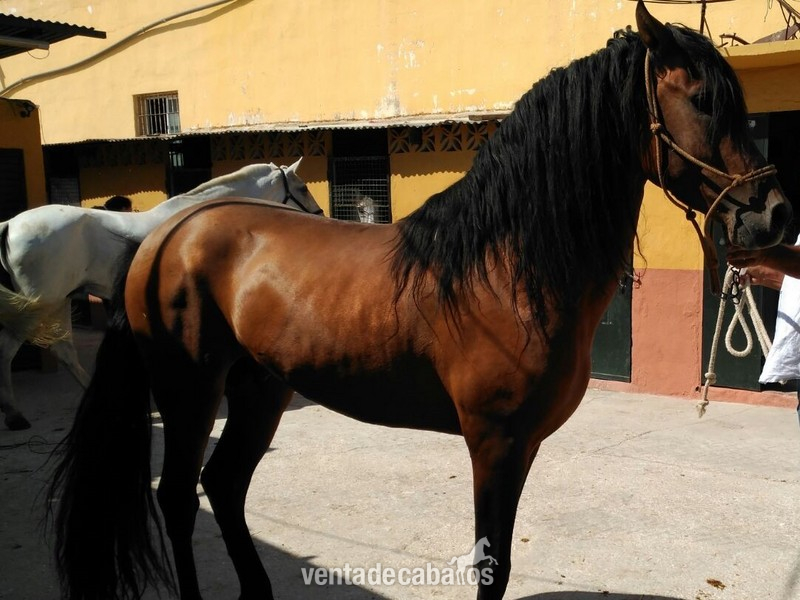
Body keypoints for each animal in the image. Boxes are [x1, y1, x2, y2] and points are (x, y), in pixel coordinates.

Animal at [0, 159, 322, 431]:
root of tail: (11, 224)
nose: (319, 214)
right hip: (43, 303)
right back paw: (15, 415)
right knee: (11, 349)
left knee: (63, 349)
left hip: (60, 299)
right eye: (302, 188)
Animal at [50, 3, 792, 599]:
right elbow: (491, 567)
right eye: (702, 98)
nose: (775, 217)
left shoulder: (520, 446)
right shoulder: (494, 442)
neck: (507, 267)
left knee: (225, 487)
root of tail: (165, 235)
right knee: (179, 498)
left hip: (260, 389)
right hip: (190, 392)